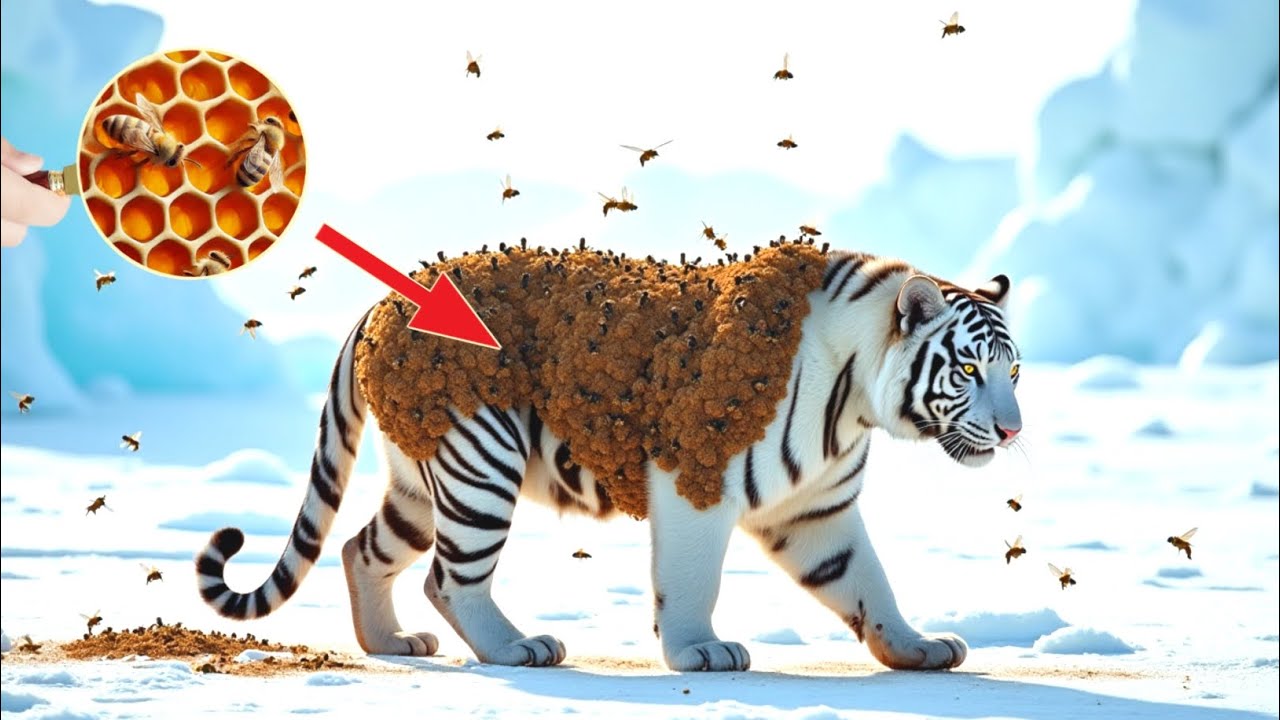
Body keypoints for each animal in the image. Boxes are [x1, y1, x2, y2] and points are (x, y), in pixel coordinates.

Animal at [194, 246, 1022, 672]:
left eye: (1012, 371)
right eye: (969, 370)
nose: (1014, 433)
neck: (852, 399)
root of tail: (385, 300)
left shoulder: (817, 509)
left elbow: (866, 581)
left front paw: (914, 647)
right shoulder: (695, 478)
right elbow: (690, 581)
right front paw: (698, 652)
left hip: (420, 481)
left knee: (364, 549)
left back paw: (389, 643)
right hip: (478, 459)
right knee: (450, 579)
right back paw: (517, 647)